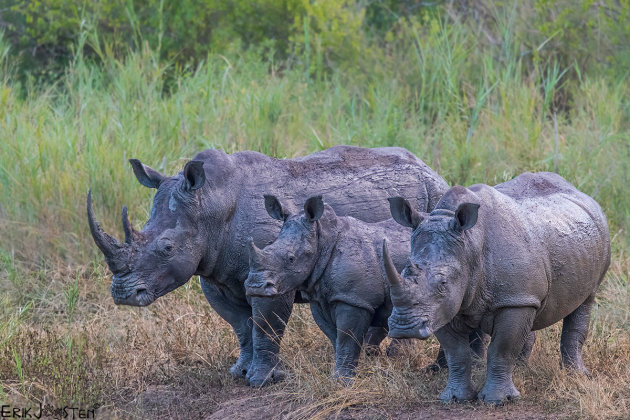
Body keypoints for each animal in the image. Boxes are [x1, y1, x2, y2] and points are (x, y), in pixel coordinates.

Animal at [247, 195, 414, 382]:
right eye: (267, 247)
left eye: (291, 259)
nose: (256, 286)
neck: (322, 241)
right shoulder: (319, 298)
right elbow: (335, 337)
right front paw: (340, 376)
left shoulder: (354, 299)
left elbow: (346, 337)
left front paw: (343, 381)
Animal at [382, 172, 616, 406]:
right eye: (404, 272)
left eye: (443, 284)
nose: (403, 327)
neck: (470, 244)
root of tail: (581, 193)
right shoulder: (441, 308)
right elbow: (456, 352)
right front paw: (455, 398)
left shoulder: (512, 301)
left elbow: (502, 348)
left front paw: (497, 400)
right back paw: (521, 370)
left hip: (596, 243)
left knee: (585, 301)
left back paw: (576, 375)